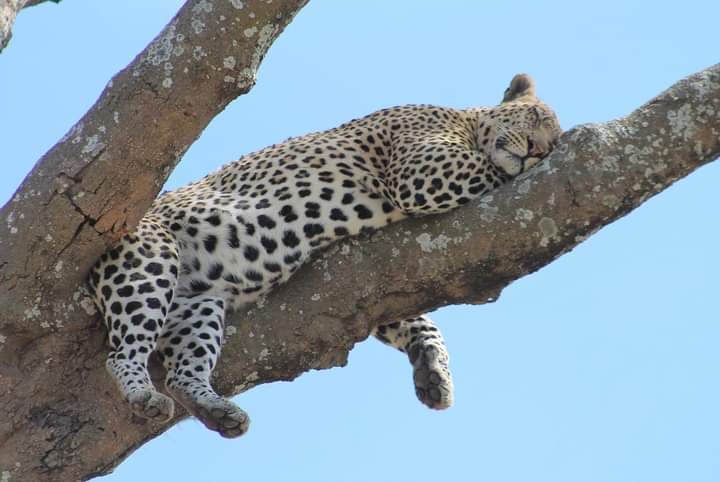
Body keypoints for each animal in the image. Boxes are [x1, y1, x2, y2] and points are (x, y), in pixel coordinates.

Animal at [88, 73, 562, 438]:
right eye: (538, 118)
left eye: (552, 143)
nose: (540, 151)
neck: (464, 119)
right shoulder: (422, 170)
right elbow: (490, 167)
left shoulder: (379, 285)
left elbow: (413, 318)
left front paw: (433, 371)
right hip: (150, 259)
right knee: (121, 354)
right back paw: (143, 395)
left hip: (196, 304)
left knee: (183, 374)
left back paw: (219, 411)